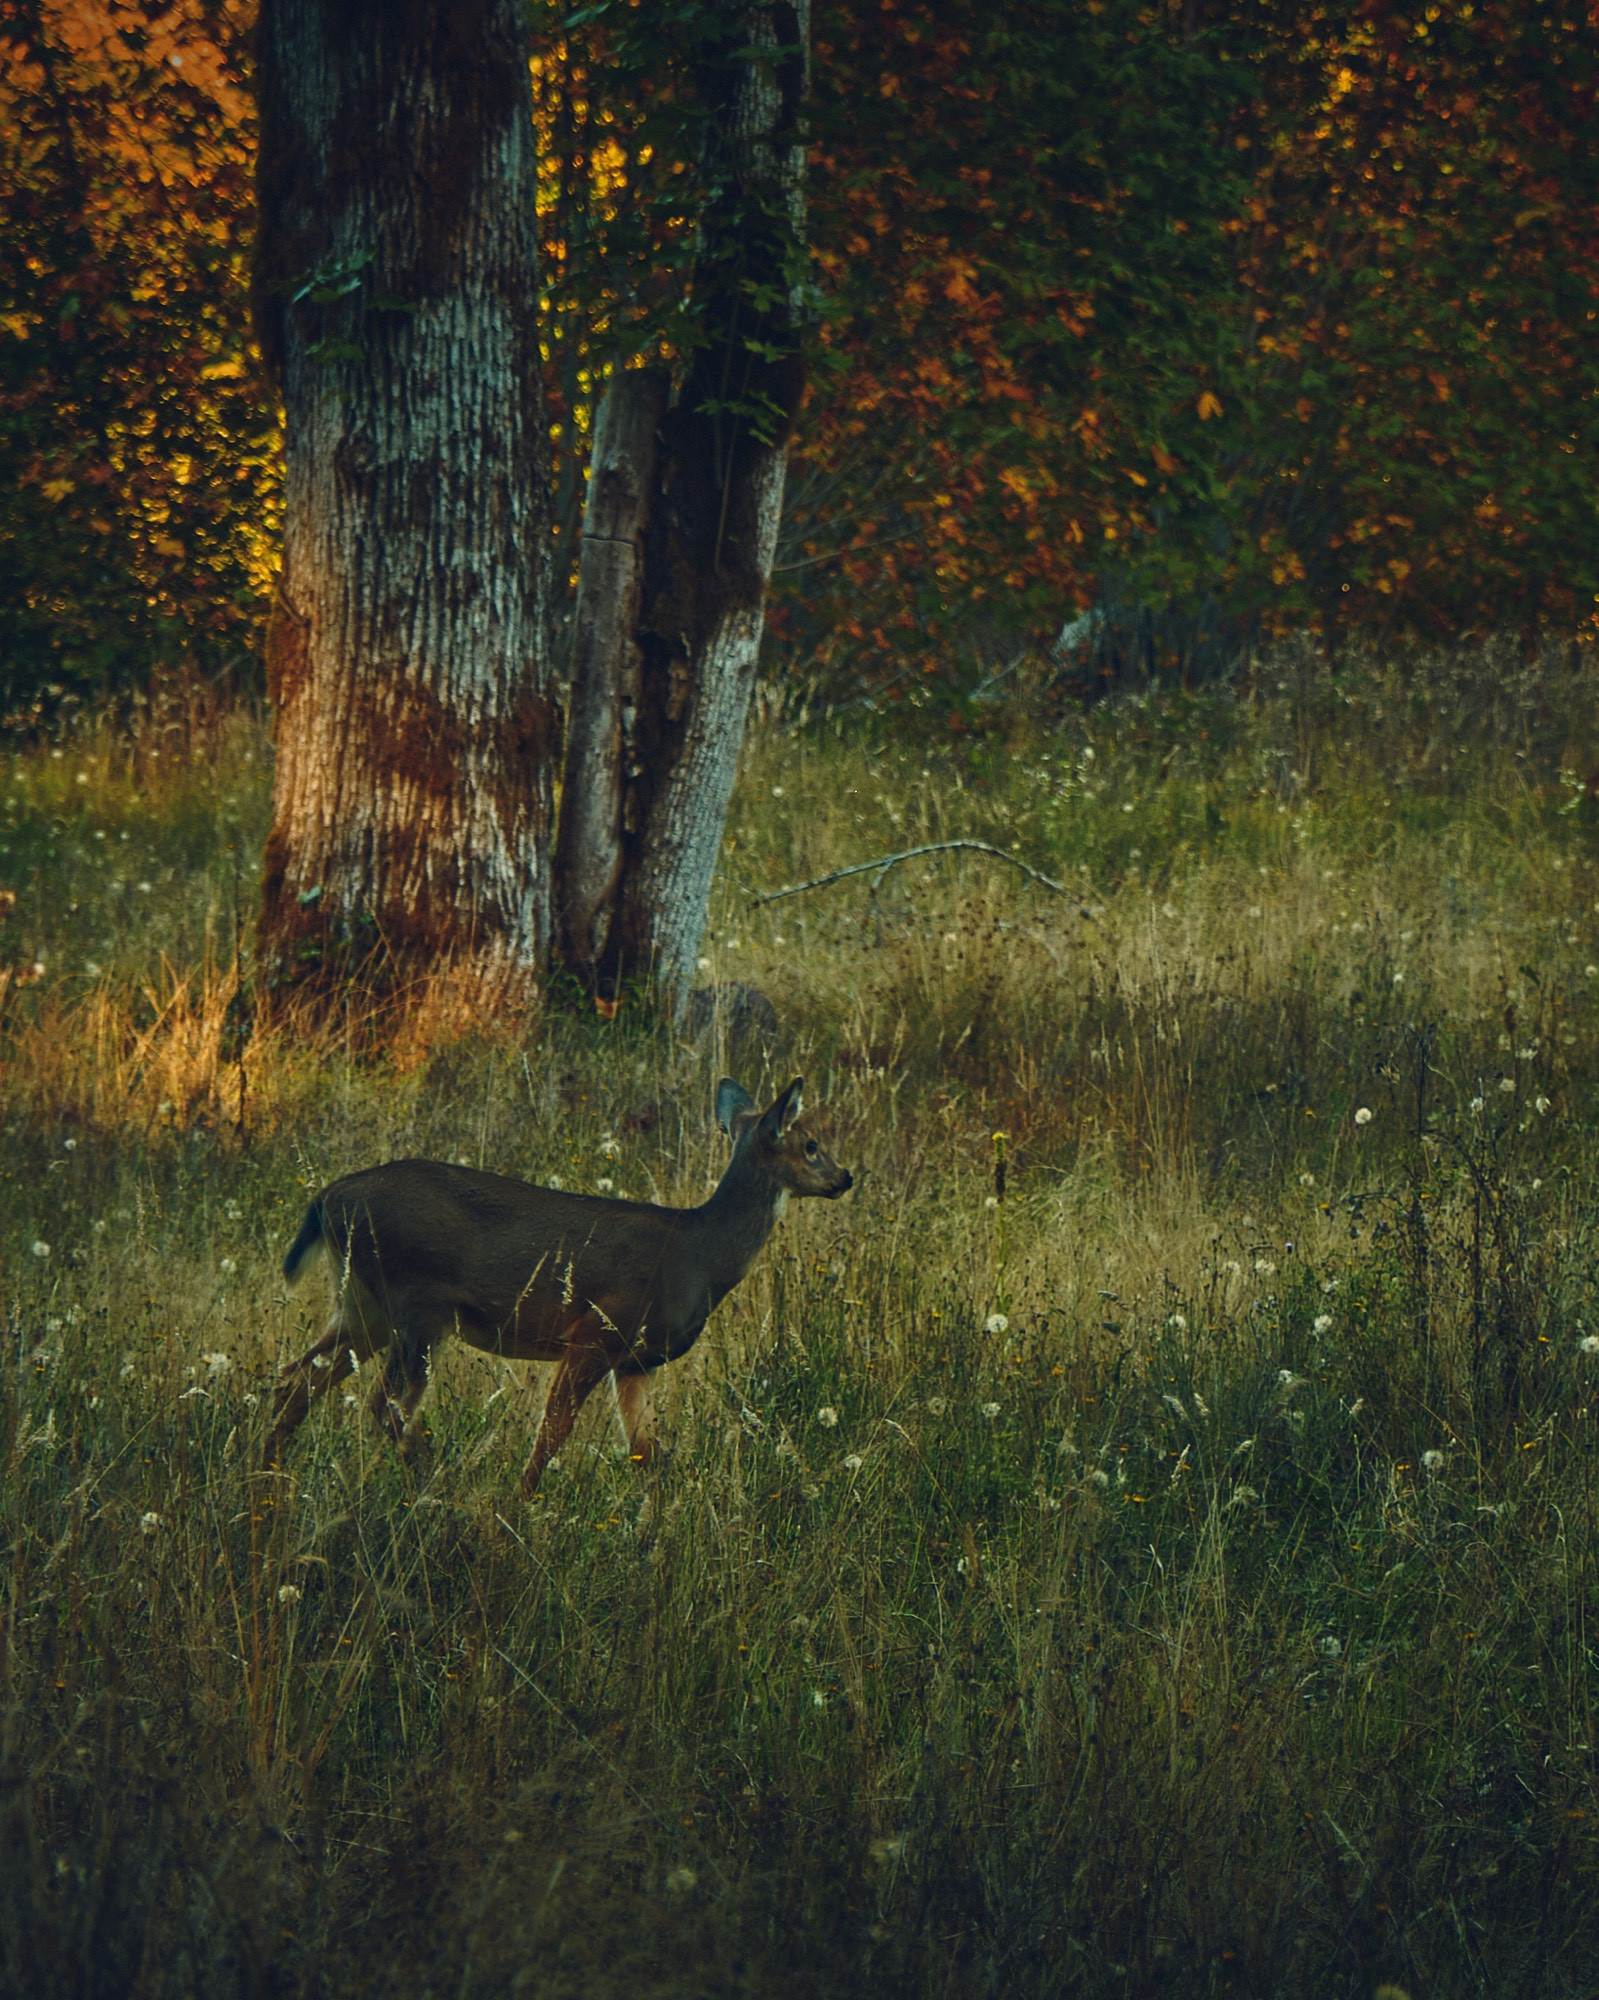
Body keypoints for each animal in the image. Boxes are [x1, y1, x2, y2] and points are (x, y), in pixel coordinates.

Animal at [261, 1080, 847, 1488]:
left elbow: (648, 1457)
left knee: (293, 1380)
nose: (846, 1177)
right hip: (417, 1306)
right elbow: (552, 1434)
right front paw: (518, 1505)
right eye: (811, 1144)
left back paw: (268, 1482)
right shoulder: (597, 1331)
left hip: (364, 1305)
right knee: (387, 1406)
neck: (701, 1255)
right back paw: (434, 1483)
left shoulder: (636, 1362)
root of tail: (327, 1199)